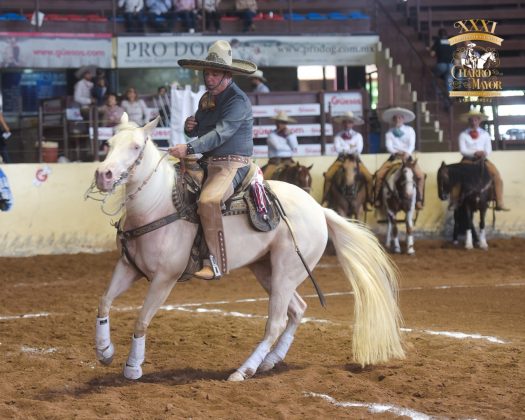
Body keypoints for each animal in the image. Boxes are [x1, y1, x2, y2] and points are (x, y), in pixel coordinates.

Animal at [90, 113, 404, 382]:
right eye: (109, 144)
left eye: (135, 146)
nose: (104, 175)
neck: (158, 206)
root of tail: (319, 209)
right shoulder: (128, 267)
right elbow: (104, 300)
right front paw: (105, 351)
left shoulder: (164, 278)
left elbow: (141, 320)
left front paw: (133, 367)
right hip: (267, 270)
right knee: (297, 310)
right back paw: (270, 361)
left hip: (286, 272)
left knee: (276, 322)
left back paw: (245, 370)